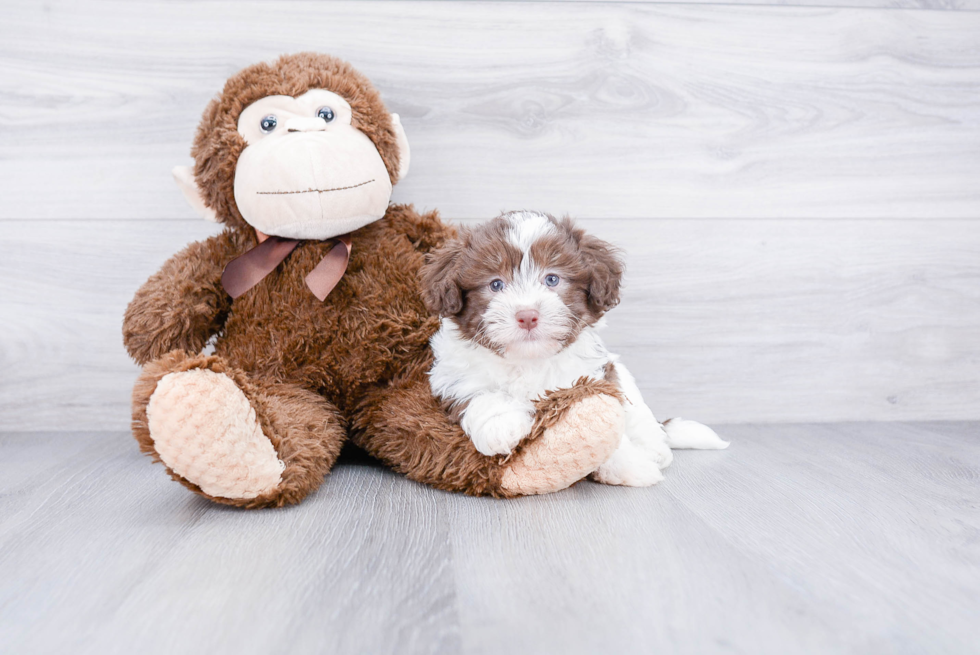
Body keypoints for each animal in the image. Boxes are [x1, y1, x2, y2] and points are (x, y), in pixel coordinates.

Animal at [422, 211, 728, 486]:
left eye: (552, 279)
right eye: (496, 284)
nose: (527, 315)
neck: (528, 360)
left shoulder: (589, 378)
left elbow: (609, 426)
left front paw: (629, 466)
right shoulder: (454, 375)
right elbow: (481, 395)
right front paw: (502, 426)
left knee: (642, 418)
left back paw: (653, 448)